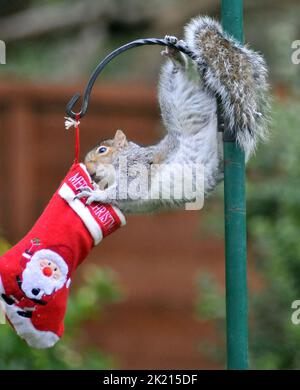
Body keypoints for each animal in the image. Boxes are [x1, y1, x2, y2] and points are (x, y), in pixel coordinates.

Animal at [76, 16, 268, 213]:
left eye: (102, 150)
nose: (87, 163)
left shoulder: (136, 166)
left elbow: (129, 189)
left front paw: (95, 194)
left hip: (187, 106)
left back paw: (177, 56)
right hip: (174, 94)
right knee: (179, 73)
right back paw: (175, 56)